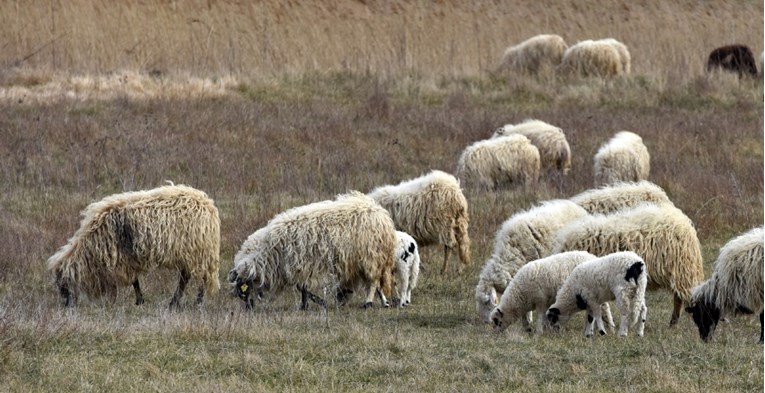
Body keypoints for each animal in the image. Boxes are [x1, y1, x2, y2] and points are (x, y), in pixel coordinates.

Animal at [47, 185, 221, 308]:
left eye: (62, 285)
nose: (67, 306)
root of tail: (209, 206)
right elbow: (134, 281)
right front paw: (137, 300)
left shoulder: (118, 259)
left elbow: (129, 281)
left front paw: (121, 301)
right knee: (186, 277)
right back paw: (175, 303)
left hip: (199, 251)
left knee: (200, 278)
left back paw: (196, 303)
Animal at [225, 191, 394, 310]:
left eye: (244, 289)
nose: (248, 308)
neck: (270, 252)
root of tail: (380, 212)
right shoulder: (299, 267)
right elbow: (303, 288)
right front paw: (309, 304)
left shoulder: (300, 264)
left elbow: (302, 287)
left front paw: (310, 304)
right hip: (362, 260)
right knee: (375, 283)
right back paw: (381, 302)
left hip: (371, 257)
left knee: (372, 282)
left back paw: (368, 303)